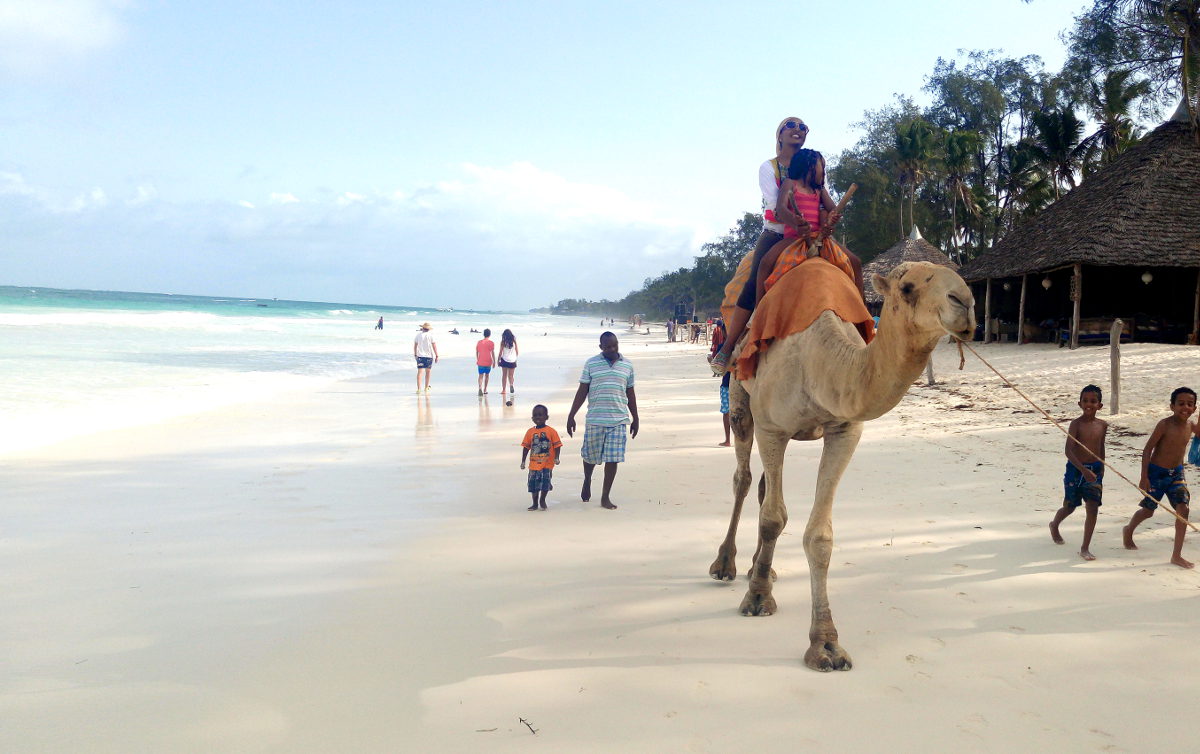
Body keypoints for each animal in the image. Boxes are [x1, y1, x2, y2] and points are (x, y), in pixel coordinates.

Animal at [705, 260, 979, 672]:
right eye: (908, 287)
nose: (965, 304)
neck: (820, 362)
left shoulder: (845, 430)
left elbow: (819, 536)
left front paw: (826, 644)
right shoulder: (772, 427)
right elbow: (773, 518)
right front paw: (757, 600)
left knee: (765, 488)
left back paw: (760, 567)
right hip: (740, 396)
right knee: (744, 478)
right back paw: (726, 564)